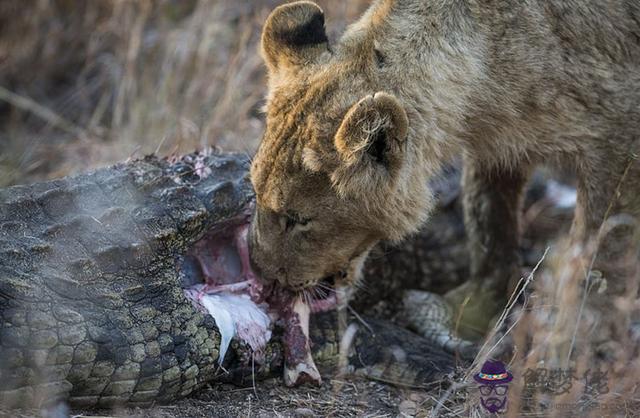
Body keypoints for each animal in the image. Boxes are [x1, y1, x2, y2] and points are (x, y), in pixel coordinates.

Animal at [249, 0, 640, 340]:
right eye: (254, 193)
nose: (260, 275)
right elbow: (488, 225)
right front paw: (471, 311)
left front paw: (566, 342)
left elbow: (597, 254)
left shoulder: (620, 145)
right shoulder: (501, 145)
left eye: (298, 220)